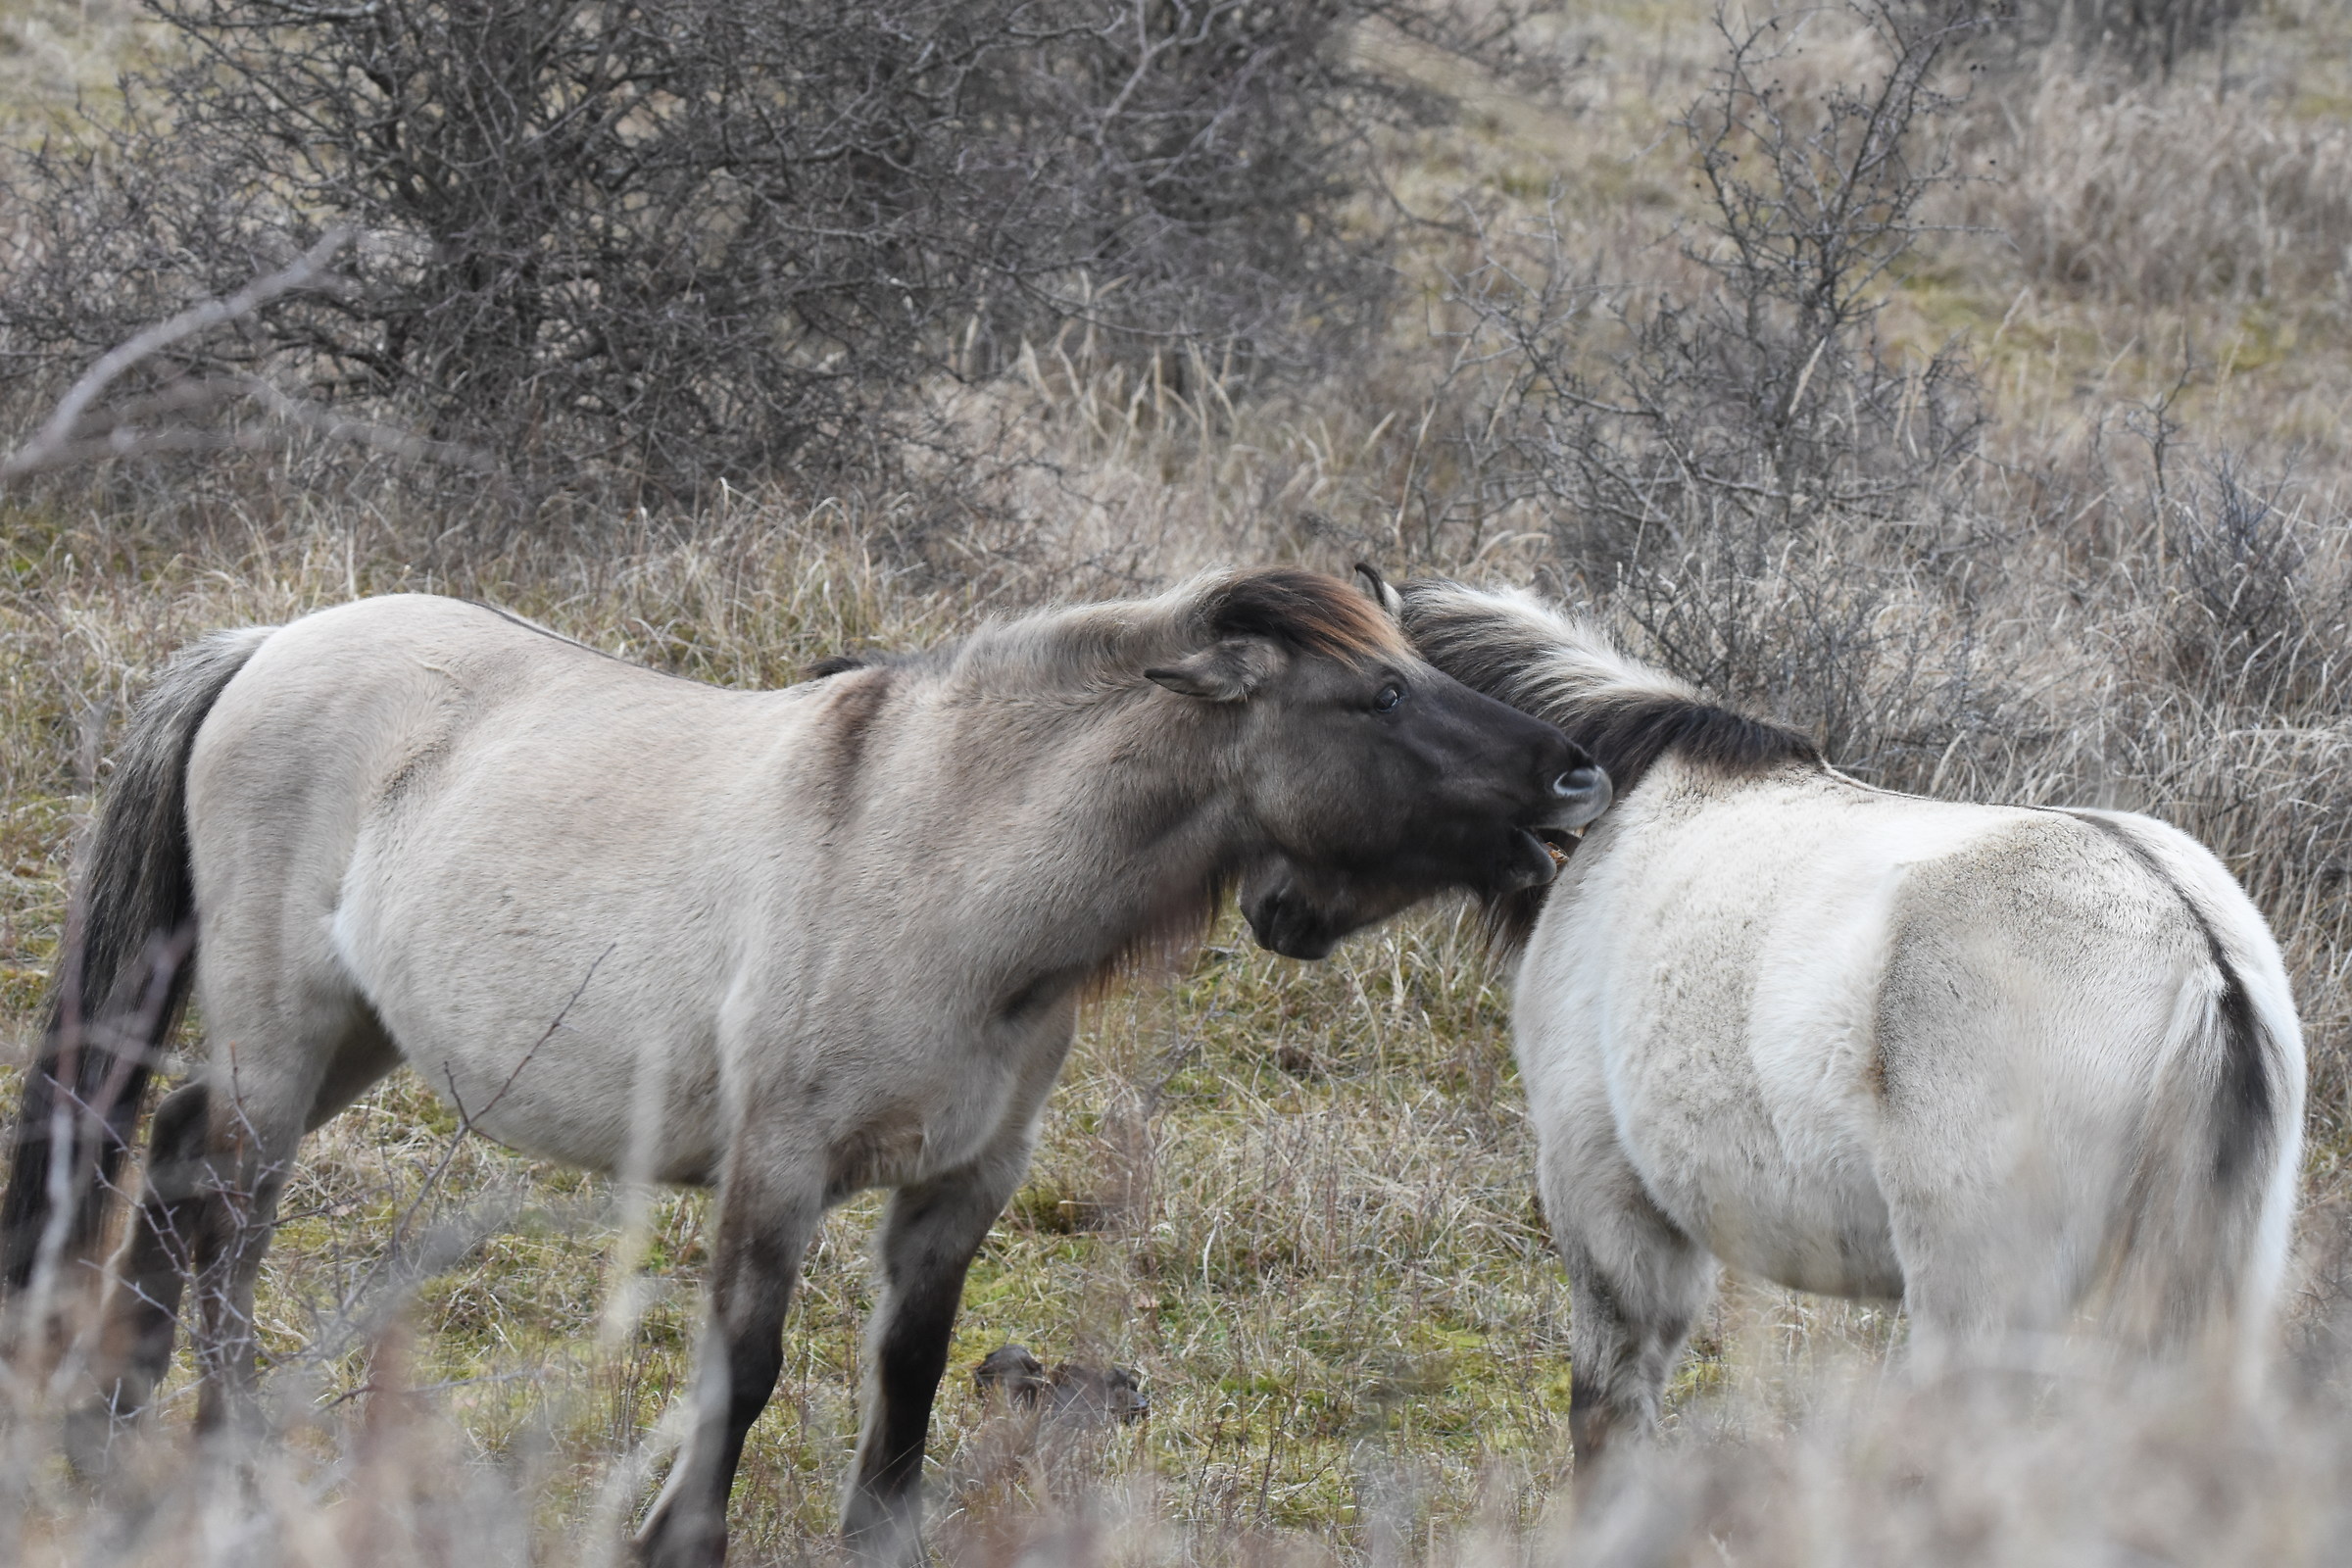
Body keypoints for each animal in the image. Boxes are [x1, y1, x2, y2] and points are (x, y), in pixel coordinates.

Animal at [0, 566, 1608, 1566]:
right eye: (1376, 701)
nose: (1579, 776)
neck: (949, 861)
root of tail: (274, 642)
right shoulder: (775, 1167)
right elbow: (749, 1366)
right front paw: (679, 1537)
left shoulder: (962, 1185)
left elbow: (910, 1373)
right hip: (284, 1034)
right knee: (222, 1210)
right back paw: (216, 1455)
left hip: (350, 1034)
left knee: (178, 1174)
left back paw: (114, 1439)